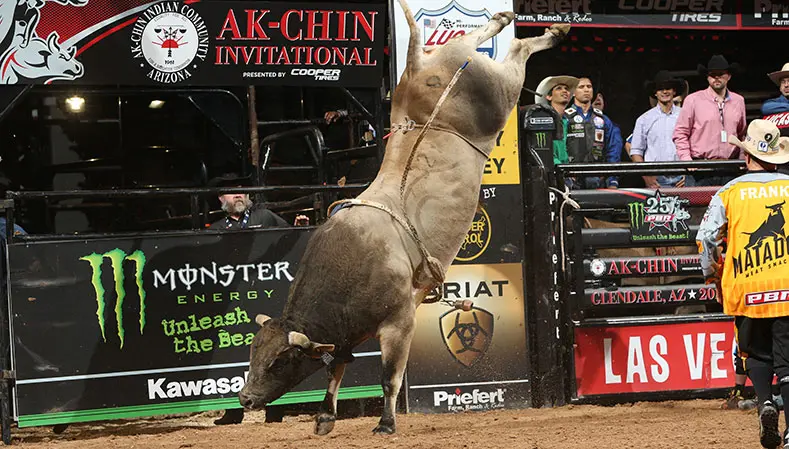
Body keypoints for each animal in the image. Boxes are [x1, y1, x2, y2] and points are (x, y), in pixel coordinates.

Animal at [238, 0, 570, 436]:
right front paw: (325, 416)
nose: (245, 399)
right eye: (253, 353)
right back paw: (510, 22)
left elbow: (388, 376)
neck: (354, 260)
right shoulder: (344, 333)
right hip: (472, 72)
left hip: (499, 91)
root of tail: (415, 68)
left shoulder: (399, 321)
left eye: (279, 361)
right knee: (487, 42)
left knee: (514, 51)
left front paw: (385, 422)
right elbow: (336, 369)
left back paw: (544, 31)